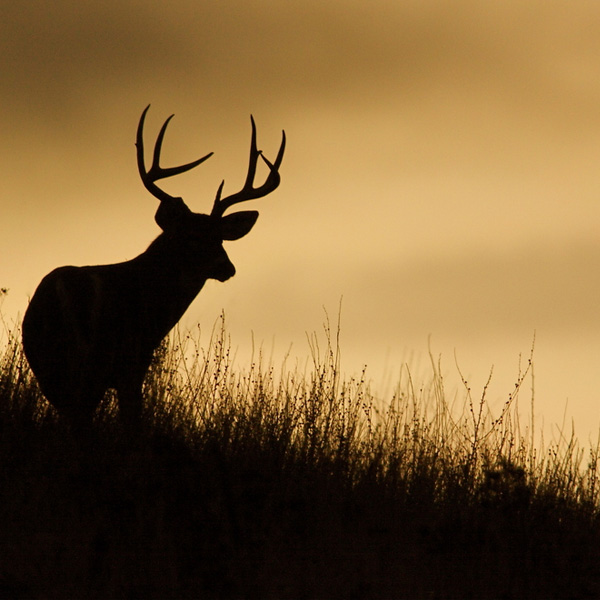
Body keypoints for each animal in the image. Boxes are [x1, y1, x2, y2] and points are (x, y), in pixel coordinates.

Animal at [22, 104, 284, 432]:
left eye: (220, 237)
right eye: (192, 236)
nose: (227, 267)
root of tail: (58, 293)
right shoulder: (133, 363)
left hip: (50, 366)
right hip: (94, 361)